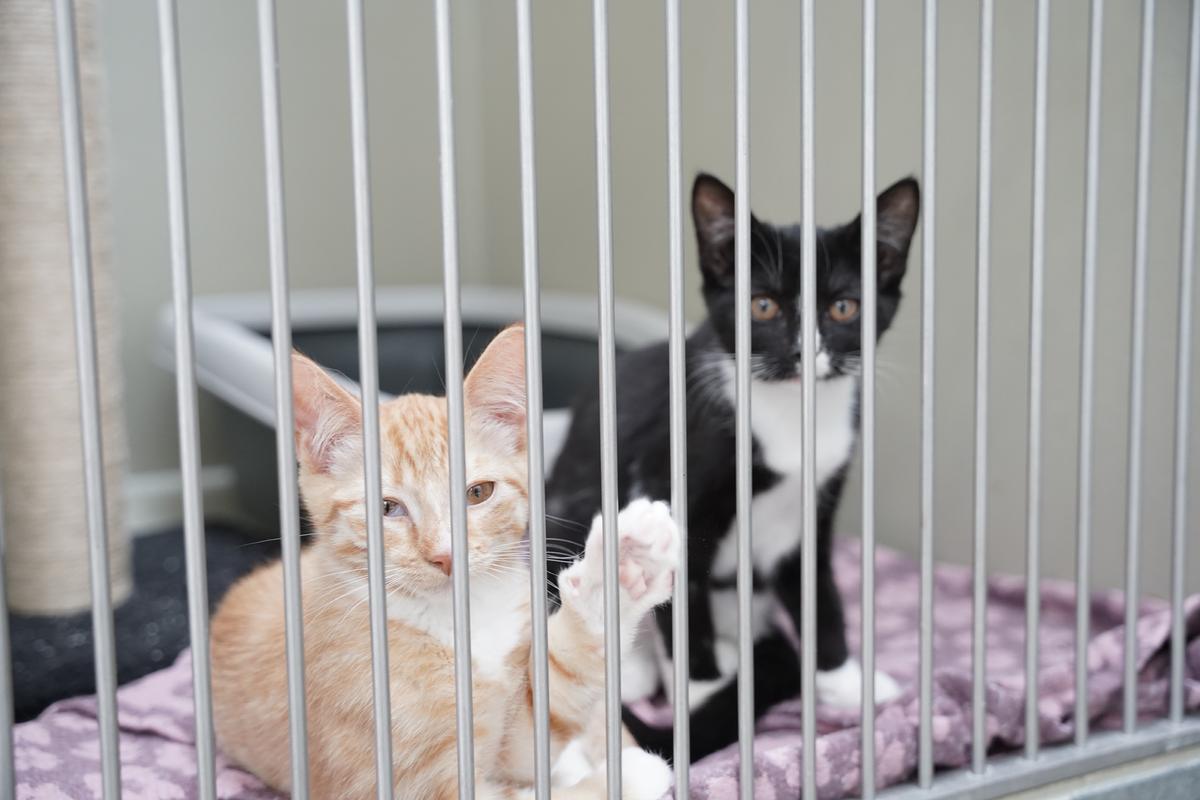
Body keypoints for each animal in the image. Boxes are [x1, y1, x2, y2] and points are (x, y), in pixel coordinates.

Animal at [211, 325, 677, 799]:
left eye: (478, 493)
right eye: (387, 508)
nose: (445, 555)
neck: (460, 618)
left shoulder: (519, 742)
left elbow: (558, 693)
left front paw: (623, 570)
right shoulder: (399, 784)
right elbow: (531, 794)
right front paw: (634, 775)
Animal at [544, 173, 920, 762]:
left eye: (843, 308)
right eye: (761, 306)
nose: (801, 352)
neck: (787, 413)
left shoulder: (817, 502)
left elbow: (819, 591)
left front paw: (846, 682)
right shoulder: (674, 484)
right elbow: (684, 607)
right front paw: (702, 699)